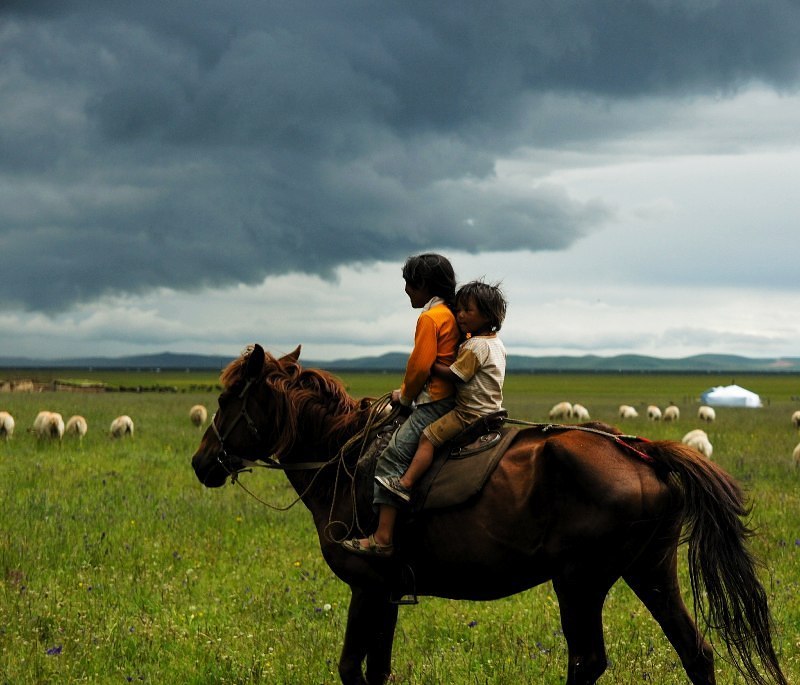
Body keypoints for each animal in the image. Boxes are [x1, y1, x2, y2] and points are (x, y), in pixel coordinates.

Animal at [191, 344, 784, 684]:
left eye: (226, 398)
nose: (201, 462)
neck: (343, 458)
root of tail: (641, 450)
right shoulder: (388, 593)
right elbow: (378, 670)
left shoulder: (367, 586)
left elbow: (352, 670)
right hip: (650, 572)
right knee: (696, 653)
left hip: (580, 582)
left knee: (588, 663)